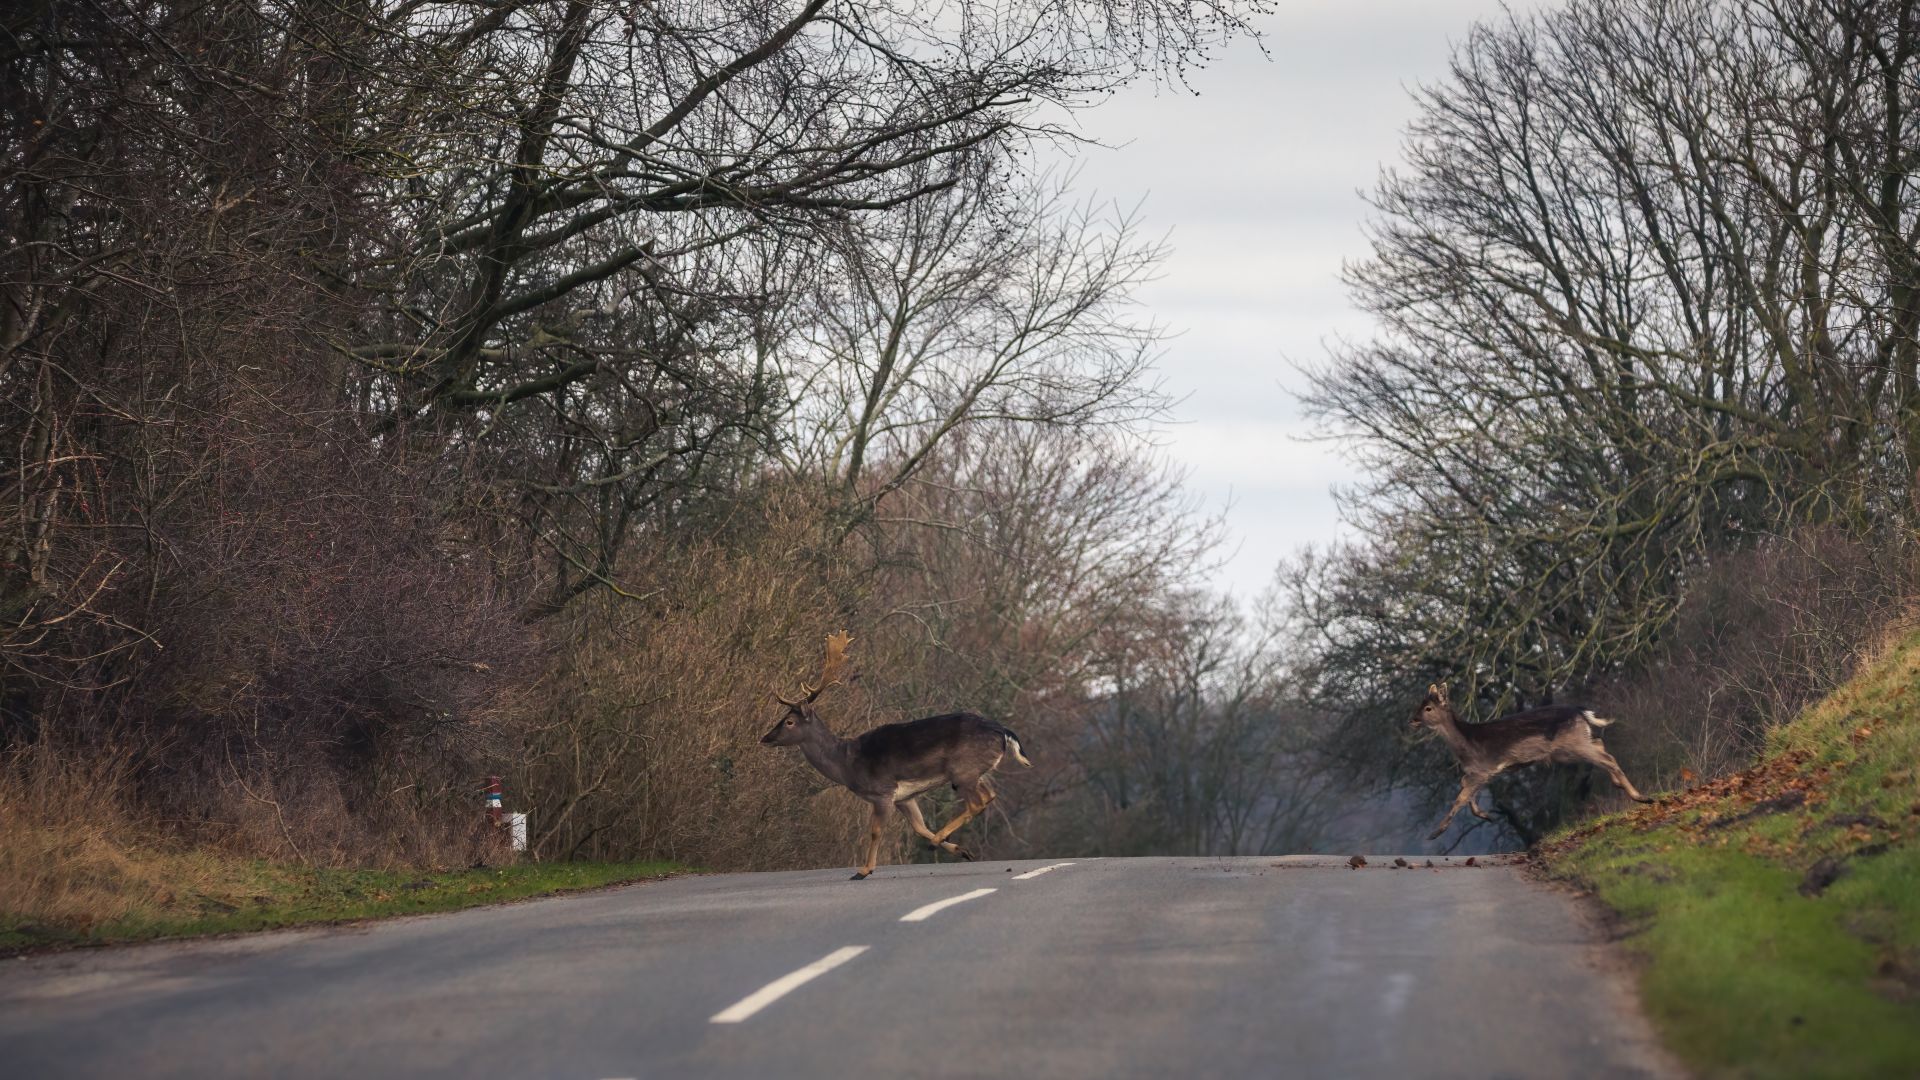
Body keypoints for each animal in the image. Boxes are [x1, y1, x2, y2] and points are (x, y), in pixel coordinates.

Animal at [764, 630, 1036, 876]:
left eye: (789, 721)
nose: (765, 738)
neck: (846, 762)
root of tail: (1003, 731)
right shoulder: (905, 797)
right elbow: (919, 827)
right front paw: (962, 851)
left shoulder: (882, 791)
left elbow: (876, 831)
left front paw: (864, 870)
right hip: (978, 772)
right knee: (989, 795)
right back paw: (942, 842)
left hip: (963, 770)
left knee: (977, 802)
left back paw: (934, 842)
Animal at [1405, 680, 1658, 841]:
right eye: (1419, 705)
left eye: (1428, 708)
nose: (1413, 720)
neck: (1465, 745)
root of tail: (1581, 711)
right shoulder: (1479, 772)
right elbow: (1468, 792)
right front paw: (1485, 815)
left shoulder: (1483, 767)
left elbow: (1461, 797)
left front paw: (1435, 833)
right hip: (1571, 746)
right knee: (1601, 745)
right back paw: (1623, 786)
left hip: (1572, 744)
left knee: (1607, 756)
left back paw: (1642, 797)